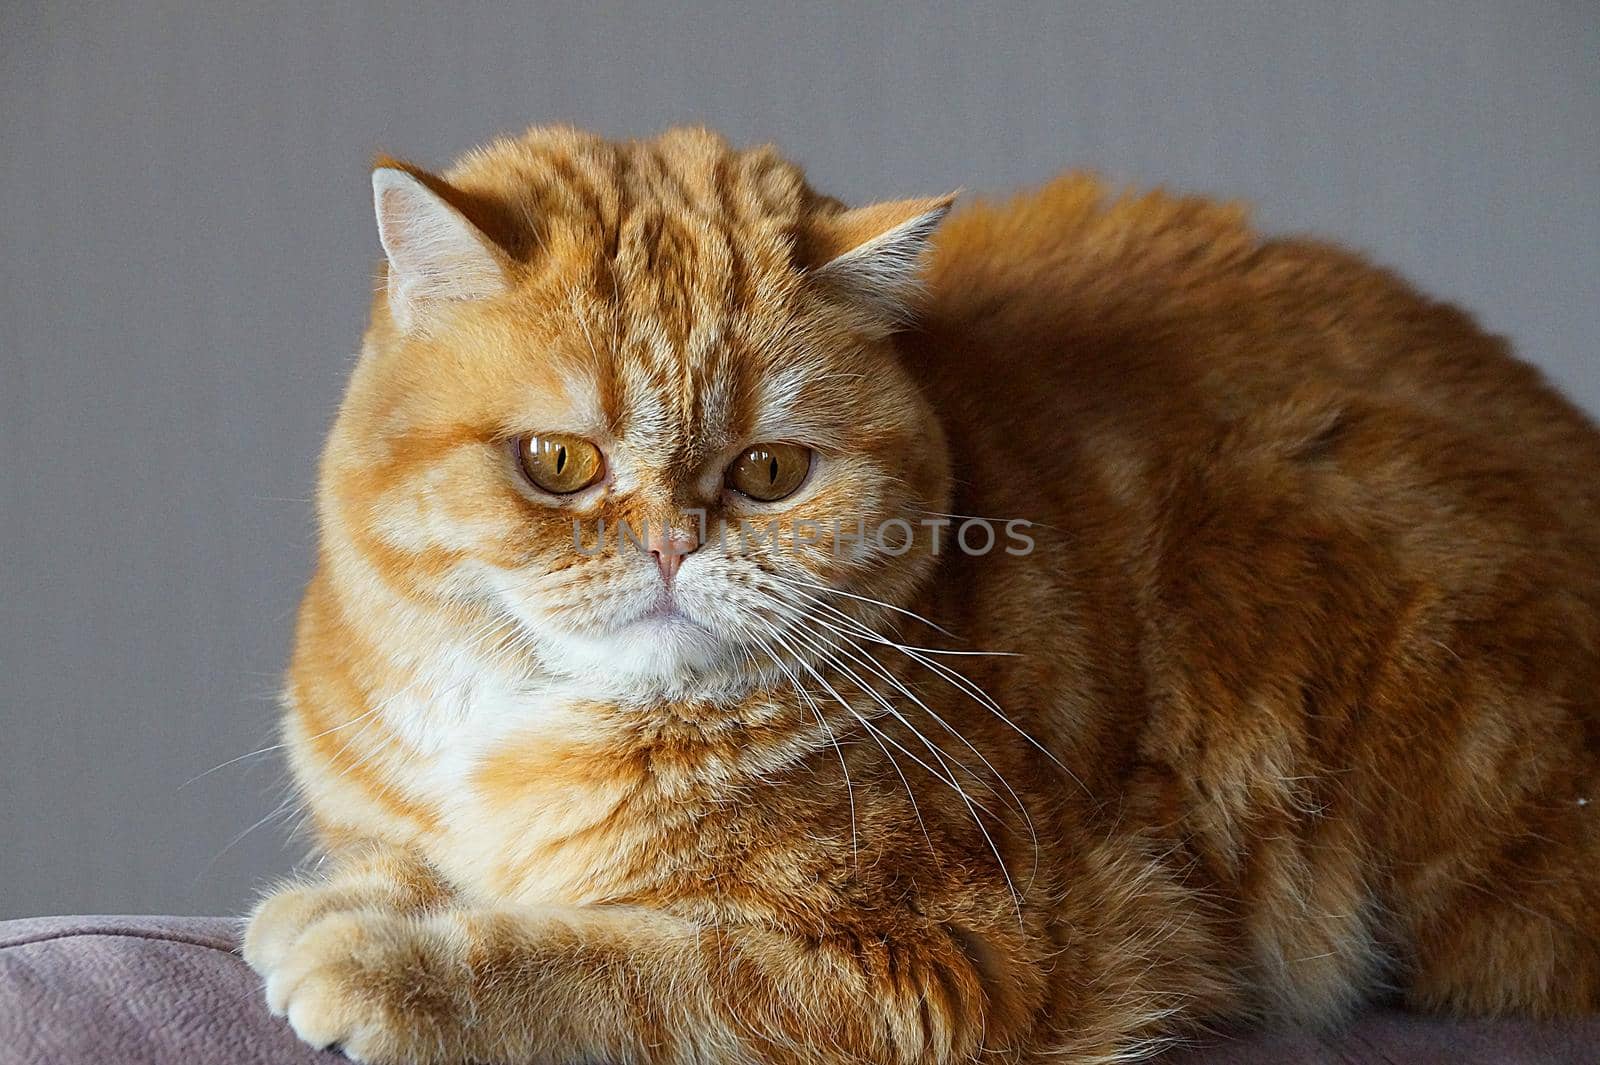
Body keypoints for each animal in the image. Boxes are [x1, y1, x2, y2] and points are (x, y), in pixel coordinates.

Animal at [243, 126, 1600, 1061]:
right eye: (559, 464)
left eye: (770, 472)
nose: (673, 546)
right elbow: (425, 874)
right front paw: (354, 898)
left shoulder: (950, 956)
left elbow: (620, 971)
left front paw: (389, 963)